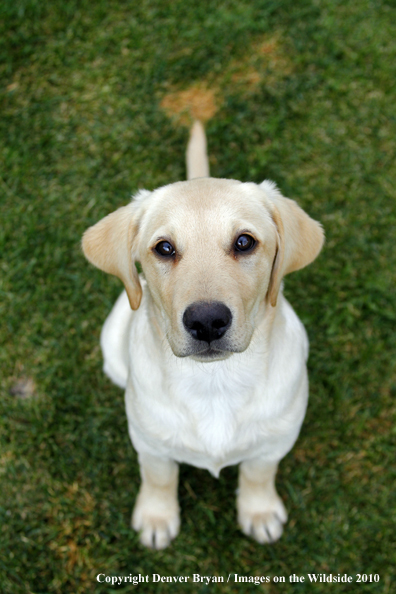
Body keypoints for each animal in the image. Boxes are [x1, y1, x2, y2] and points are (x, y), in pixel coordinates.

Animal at [82, 121, 324, 552]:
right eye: (164, 248)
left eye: (244, 242)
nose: (207, 321)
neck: (216, 381)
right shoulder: (150, 444)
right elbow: (159, 478)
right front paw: (157, 517)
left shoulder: (276, 440)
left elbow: (259, 473)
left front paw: (259, 511)